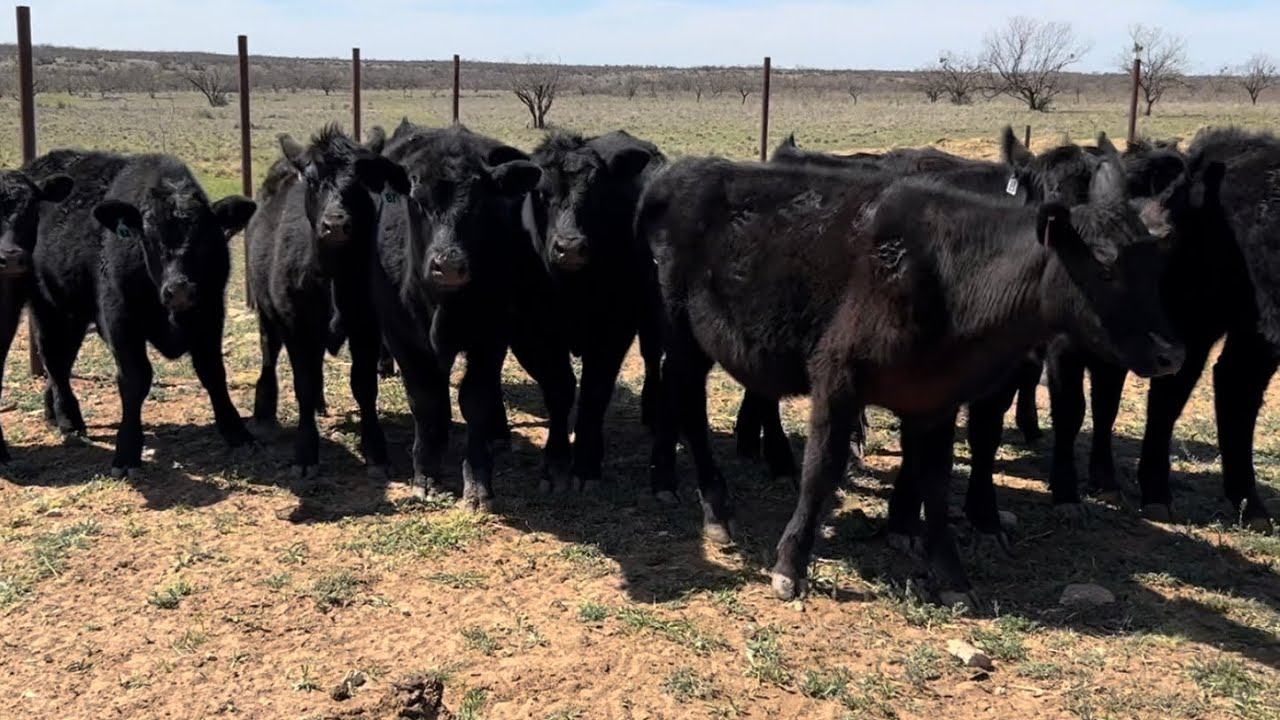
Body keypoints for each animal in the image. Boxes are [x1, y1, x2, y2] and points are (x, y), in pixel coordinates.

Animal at [24, 150, 257, 476]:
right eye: (148, 238)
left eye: (207, 238)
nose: (179, 290)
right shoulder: (120, 320)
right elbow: (136, 379)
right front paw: (127, 451)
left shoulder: (210, 314)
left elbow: (212, 372)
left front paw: (236, 431)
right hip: (49, 306)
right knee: (54, 359)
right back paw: (69, 419)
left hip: (73, 315)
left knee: (63, 360)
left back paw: (52, 411)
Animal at [246, 123, 409, 479]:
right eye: (311, 181)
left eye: (362, 181)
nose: (335, 224)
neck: (334, 274)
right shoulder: (295, 324)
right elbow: (303, 384)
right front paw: (305, 452)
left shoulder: (367, 325)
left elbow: (363, 385)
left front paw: (376, 450)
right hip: (266, 311)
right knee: (269, 354)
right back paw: (264, 412)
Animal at [368, 123, 575, 509]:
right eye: (416, 201)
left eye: (479, 203)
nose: (448, 265)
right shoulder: (400, 334)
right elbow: (425, 398)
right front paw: (426, 472)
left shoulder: (490, 335)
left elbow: (474, 397)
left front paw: (478, 482)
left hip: (534, 330)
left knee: (560, 387)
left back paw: (553, 467)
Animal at [525, 130, 666, 488]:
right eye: (540, 193)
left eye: (596, 193)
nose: (570, 247)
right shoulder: (533, 332)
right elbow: (559, 388)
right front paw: (557, 460)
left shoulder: (615, 329)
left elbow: (595, 391)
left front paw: (587, 461)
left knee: (652, 357)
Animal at [638, 151, 1184, 605]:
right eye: (1106, 266)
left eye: (1155, 261)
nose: (1171, 353)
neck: (950, 277)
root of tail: (680, 170)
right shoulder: (835, 379)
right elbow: (820, 471)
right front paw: (790, 566)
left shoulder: (936, 402)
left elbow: (935, 485)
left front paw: (952, 576)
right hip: (682, 333)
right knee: (686, 400)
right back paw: (716, 509)